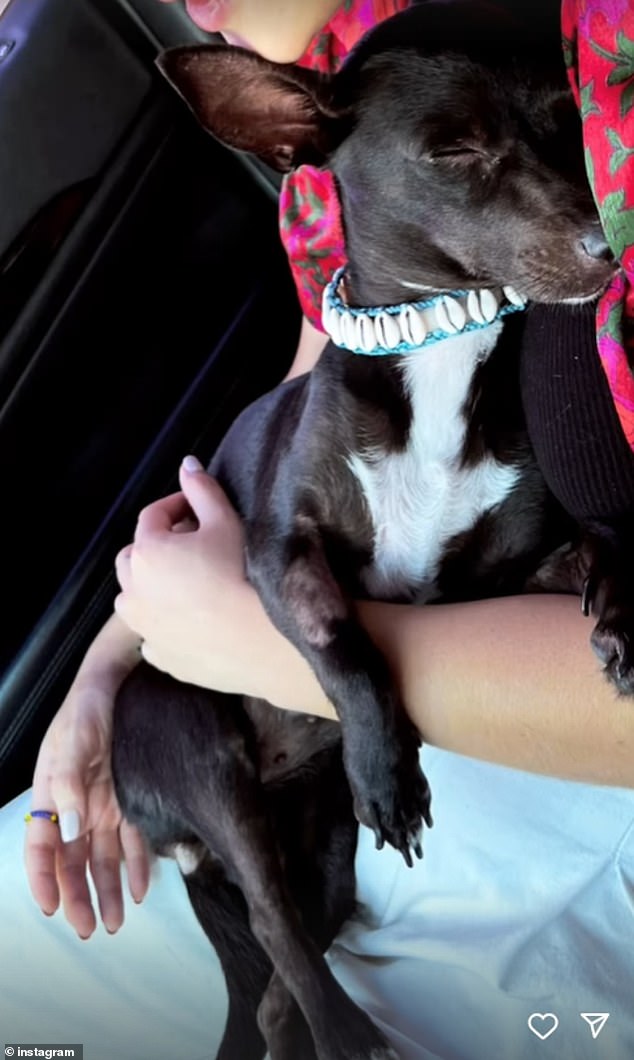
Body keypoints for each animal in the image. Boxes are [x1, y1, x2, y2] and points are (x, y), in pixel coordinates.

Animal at [111, 8, 623, 1060]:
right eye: (453, 152)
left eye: (569, 117)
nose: (609, 246)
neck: (439, 346)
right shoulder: (278, 554)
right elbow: (342, 640)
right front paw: (387, 764)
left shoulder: (496, 577)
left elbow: (583, 551)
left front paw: (627, 602)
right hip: (202, 751)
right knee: (273, 924)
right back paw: (349, 1033)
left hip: (327, 842)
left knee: (284, 965)